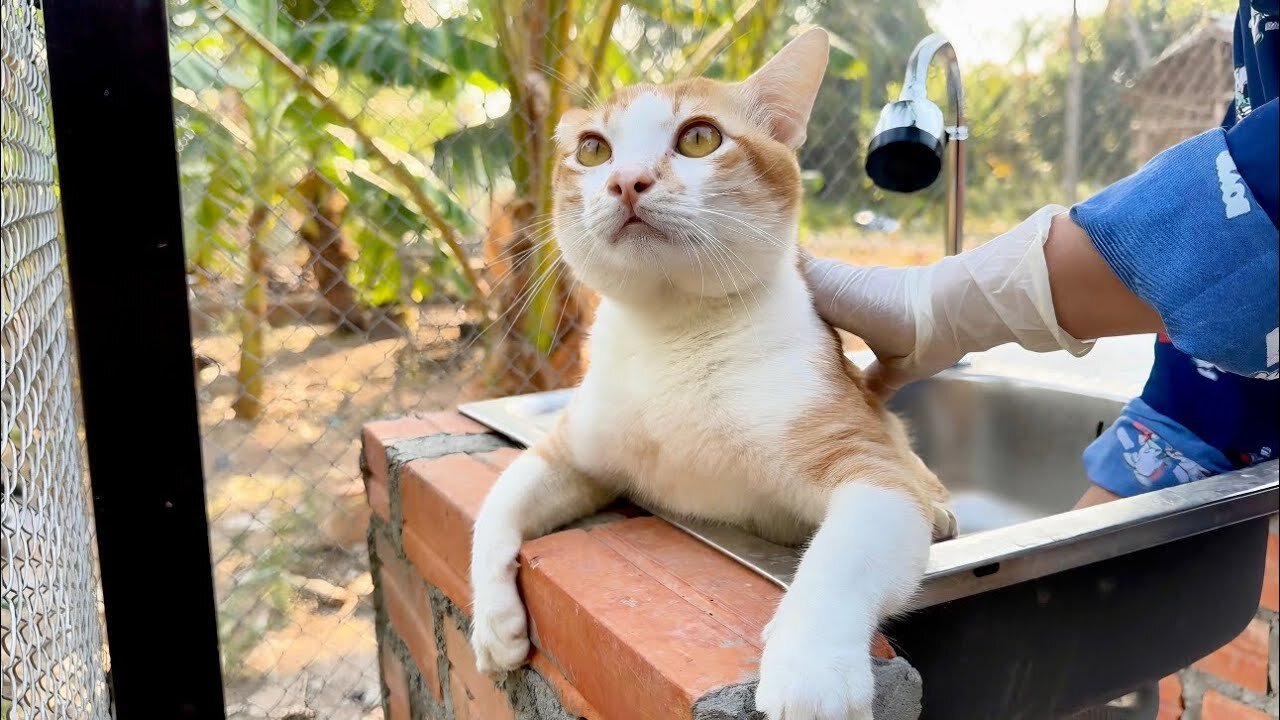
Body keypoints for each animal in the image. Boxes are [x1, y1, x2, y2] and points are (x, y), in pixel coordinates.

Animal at [471, 29, 952, 717]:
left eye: (700, 137)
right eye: (592, 150)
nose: (627, 181)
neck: (675, 338)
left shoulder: (870, 465)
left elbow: (842, 553)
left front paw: (810, 670)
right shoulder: (571, 454)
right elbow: (495, 504)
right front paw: (493, 624)